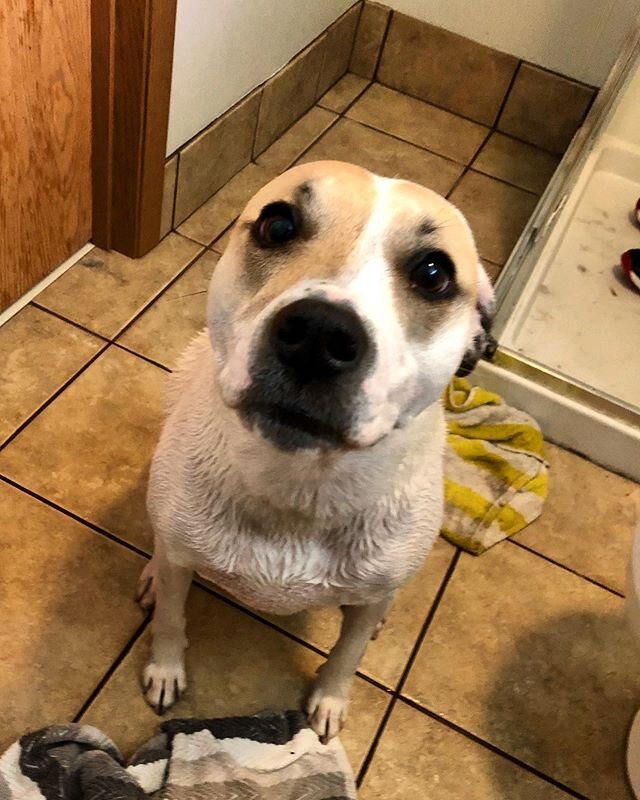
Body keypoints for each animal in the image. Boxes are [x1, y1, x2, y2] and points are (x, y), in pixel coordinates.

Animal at [139, 159, 496, 740]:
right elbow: (172, 616)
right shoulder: (181, 554)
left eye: (433, 273)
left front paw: (329, 701)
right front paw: (165, 668)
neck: (302, 484)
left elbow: (347, 654)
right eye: (278, 225)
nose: (318, 335)